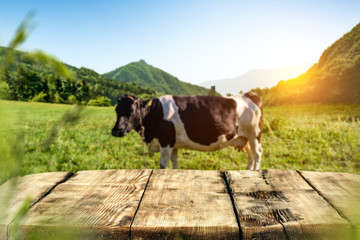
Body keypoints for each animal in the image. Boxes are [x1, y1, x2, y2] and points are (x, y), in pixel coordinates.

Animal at [111, 92, 262, 169]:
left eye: (131, 110)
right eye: (116, 110)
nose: (116, 131)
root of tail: (249, 95)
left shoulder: (165, 142)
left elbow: (163, 165)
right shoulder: (173, 144)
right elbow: (175, 162)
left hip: (254, 135)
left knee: (257, 154)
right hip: (244, 137)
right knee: (250, 156)